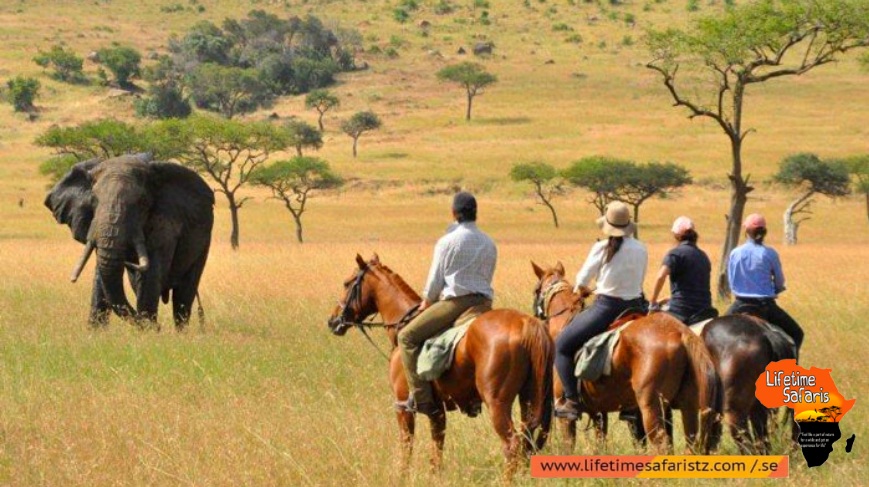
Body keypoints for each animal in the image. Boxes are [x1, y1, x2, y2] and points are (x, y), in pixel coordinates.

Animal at [45, 154, 214, 330]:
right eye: (94, 200)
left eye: (142, 203)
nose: (159, 327)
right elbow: (101, 275)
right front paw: (95, 332)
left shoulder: (165, 222)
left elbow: (151, 273)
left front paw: (148, 331)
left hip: (205, 240)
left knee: (183, 296)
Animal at [328, 255, 552, 476]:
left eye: (347, 283)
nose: (333, 321)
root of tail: (526, 324)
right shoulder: (437, 412)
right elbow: (437, 450)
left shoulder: (403, 407)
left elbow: (406, 447)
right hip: (528, 399)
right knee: (527, 440)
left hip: (497, 403)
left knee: (512, 444)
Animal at [528, 262, 720, 456]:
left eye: (536, 290)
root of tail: (680, 332)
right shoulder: (599, 412)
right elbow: (601, 443)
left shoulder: (565, 415)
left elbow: (569, 445)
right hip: (688, 407)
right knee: (690, 444)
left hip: (651, 408)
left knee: (662, 445)